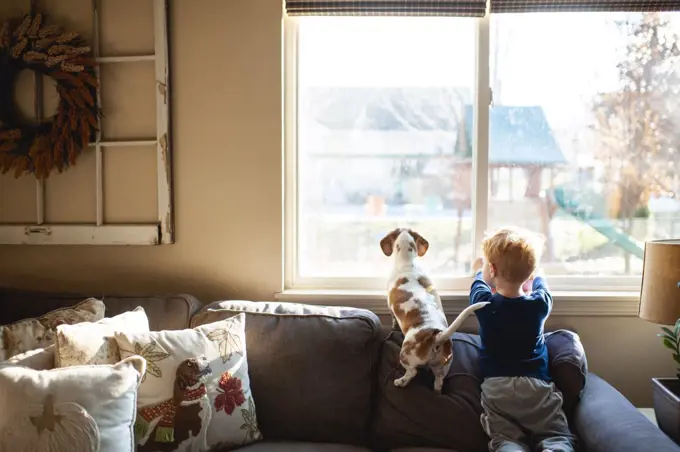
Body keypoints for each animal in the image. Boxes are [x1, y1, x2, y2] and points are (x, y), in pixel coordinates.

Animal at [382, 228, 488, 394]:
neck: (408, 262)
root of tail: (437, 336)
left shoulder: (390, 307)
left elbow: (393, 319)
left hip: (405, 356)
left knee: (412, 371)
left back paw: (401, 381)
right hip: (441, 367)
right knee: (438, 382)